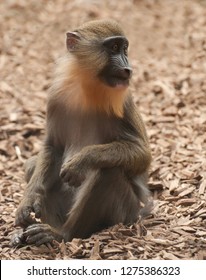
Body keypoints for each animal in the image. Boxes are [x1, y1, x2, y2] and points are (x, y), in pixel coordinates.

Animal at [12, 19, 151, 247]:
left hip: (126, 212)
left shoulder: (123, 101)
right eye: (114, 47)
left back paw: (61, 234)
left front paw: (82, 161)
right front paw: (28, 201)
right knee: (32, 164)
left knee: (107, 171)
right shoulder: (56, 97)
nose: (127, 68)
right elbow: (54, 146)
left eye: (124, 49)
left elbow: (142, 155)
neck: (88, 86)